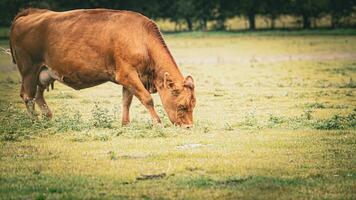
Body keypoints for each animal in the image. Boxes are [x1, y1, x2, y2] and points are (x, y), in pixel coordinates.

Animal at [9, 8, 197, 127]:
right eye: (182, 106)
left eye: (193, 105)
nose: (188, 127)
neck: (141, 39)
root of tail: (31, 12)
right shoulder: (127, 75)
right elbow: (146, 98)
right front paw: (157, 123)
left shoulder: (128, 79)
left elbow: (126, 101)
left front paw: (125, 124)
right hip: (29, 71)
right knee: (28, 96)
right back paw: (35, 122)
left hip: (43, 74)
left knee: (38, 96)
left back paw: (48, 118)